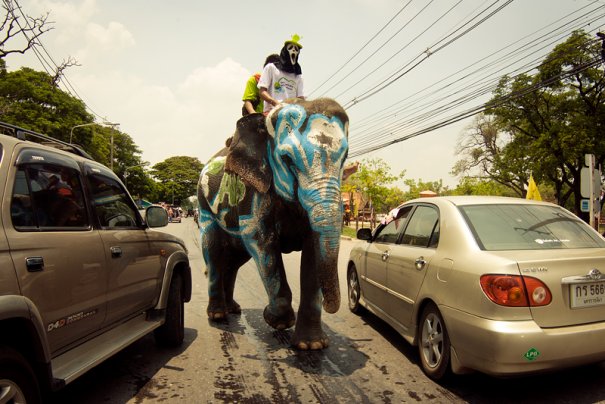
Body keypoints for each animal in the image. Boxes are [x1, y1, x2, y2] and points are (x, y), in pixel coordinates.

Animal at [198, 98, 350, 350]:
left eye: (345, 157)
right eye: (287, 160)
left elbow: (313, 250)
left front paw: (311, 345)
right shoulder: (253, 192)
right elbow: (261, 241)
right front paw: (275, 320)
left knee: (235, 259)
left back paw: (233, 309)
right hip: (204, 206)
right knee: (213, 251)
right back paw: (218, 315)